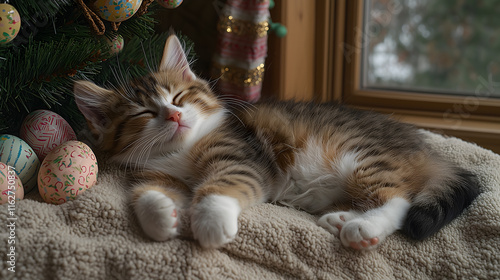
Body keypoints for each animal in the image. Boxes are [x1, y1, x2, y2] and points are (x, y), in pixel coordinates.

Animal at [72, 34, 478, 250]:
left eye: (179, 98)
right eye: (144, 113)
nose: (173, 117)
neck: (180, 152)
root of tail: (423, 145)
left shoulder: (241, 157)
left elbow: (220, 185)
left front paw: (211, 220)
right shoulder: (153, 172)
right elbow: (143, 194)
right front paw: (161, 217)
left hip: (359, 154)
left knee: (399, 198)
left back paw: (363, 227)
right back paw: (342, 218)